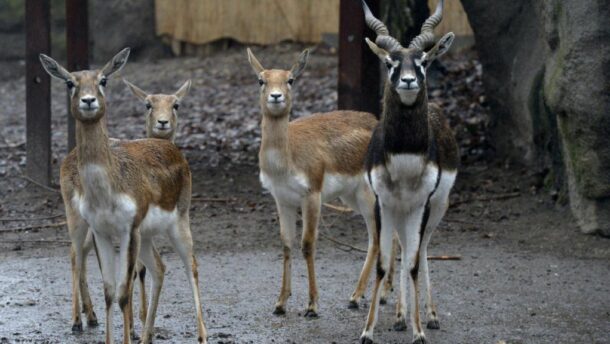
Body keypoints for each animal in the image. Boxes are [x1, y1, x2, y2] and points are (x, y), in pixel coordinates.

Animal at [40, 49, 208, 344]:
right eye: (70, 82)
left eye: (103, 79)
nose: (88, 100)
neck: (107, 191)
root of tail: (172, 149)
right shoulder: (103, 232)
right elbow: (109, 292)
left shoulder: (129, 229)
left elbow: (122, 293)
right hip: (107, 227)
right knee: (153, 267)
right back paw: (89, 322)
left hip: (178, 221)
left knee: (191, 265)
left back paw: (201, 336)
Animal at [243, 48, 392, 318]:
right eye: (261, 80)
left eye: (290, 79)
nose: (276, 96)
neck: (286, 159)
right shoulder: (282, 199)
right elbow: (286, 244)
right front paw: (280, 303)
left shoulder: (312, 194)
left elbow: (307, 244)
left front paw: (312, 305)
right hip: (352, 197)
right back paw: (384, 295)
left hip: (368, 196)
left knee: (376, 238)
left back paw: (355, 297)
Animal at [356, 0, 456, 344]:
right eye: (390, 62)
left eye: (423, 60)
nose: (409, 81)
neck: (404, 158)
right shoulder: (383, 203)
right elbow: (383, 264)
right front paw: (368, 331)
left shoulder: (420, 205)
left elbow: (412, 263)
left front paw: (420, 331)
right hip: (398, 212)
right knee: (399, 248)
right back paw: (399, 316)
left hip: (436, 209)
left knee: (421, 251)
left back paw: (430, 315)